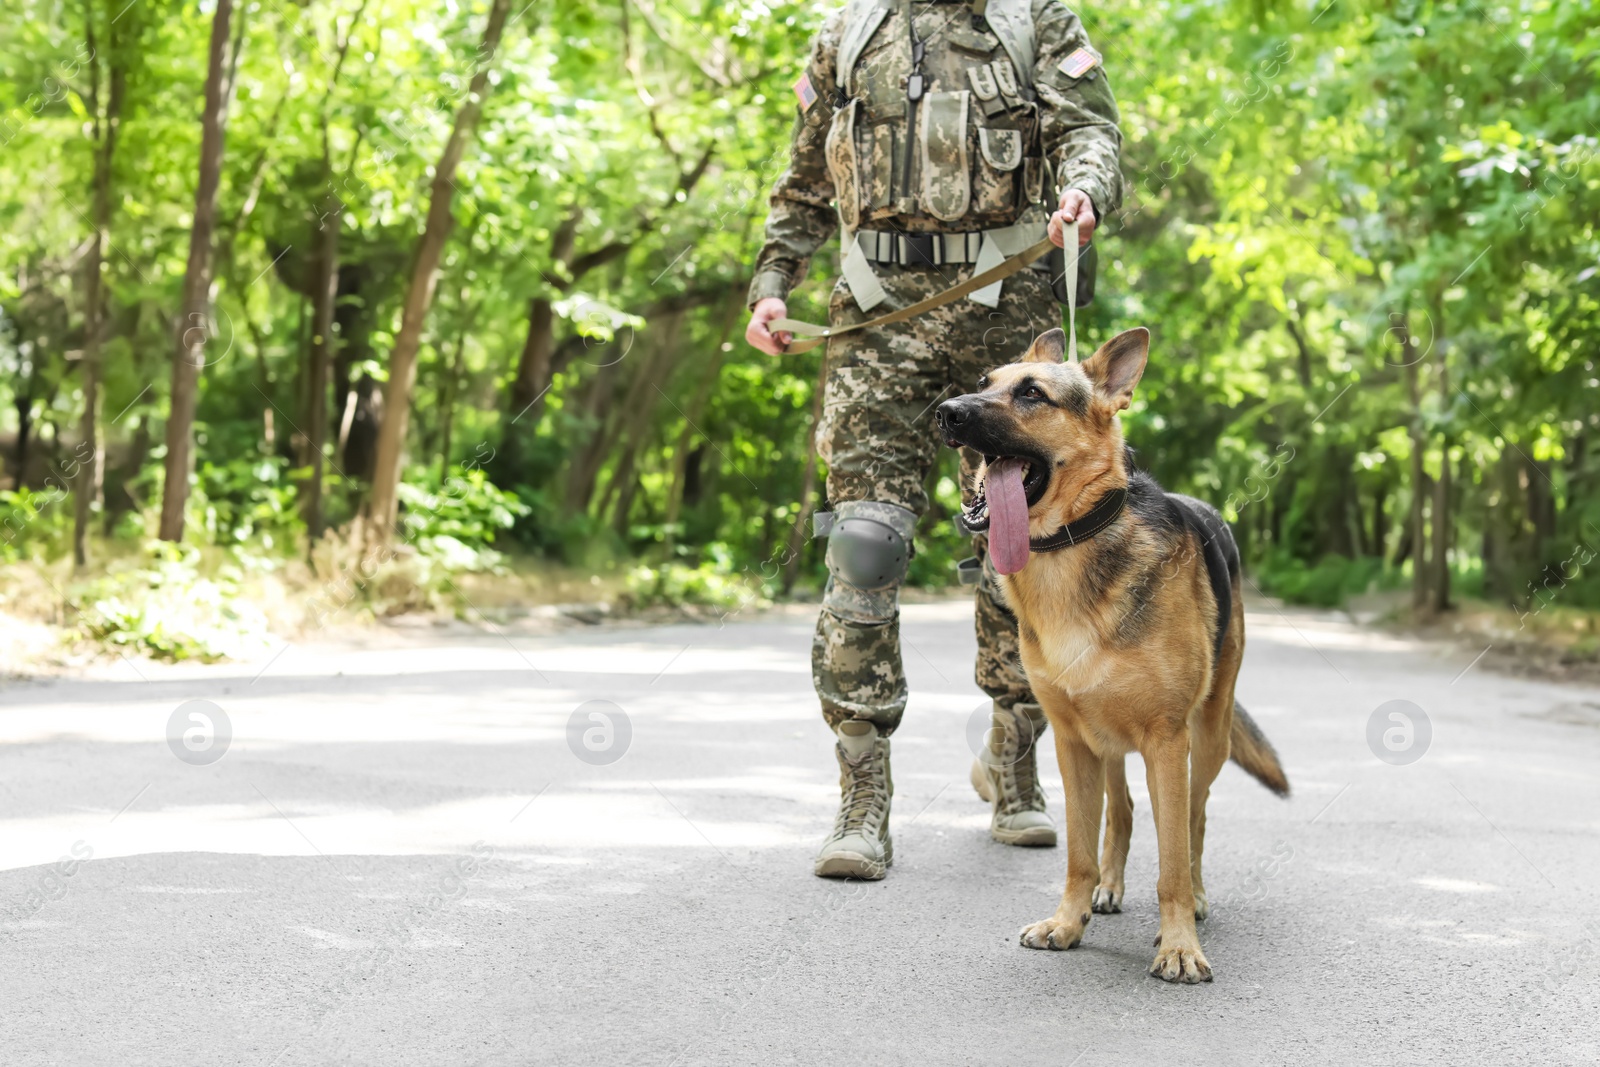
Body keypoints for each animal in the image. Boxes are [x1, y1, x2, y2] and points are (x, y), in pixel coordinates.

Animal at [934, 326, 1286, 985]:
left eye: (1031, 393)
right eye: (982, 383)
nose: (946, 412)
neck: (1072, 546)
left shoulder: (1168, 740)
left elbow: (1171, 858)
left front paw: (1179, 944)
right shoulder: (1073, 742)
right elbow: (1079, 848)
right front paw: (1068, 921)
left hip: (1208, 735)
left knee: (1194, 820)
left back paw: (1197, 897)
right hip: (1109, 736)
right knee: (1120, 809)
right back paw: (1109, 887)